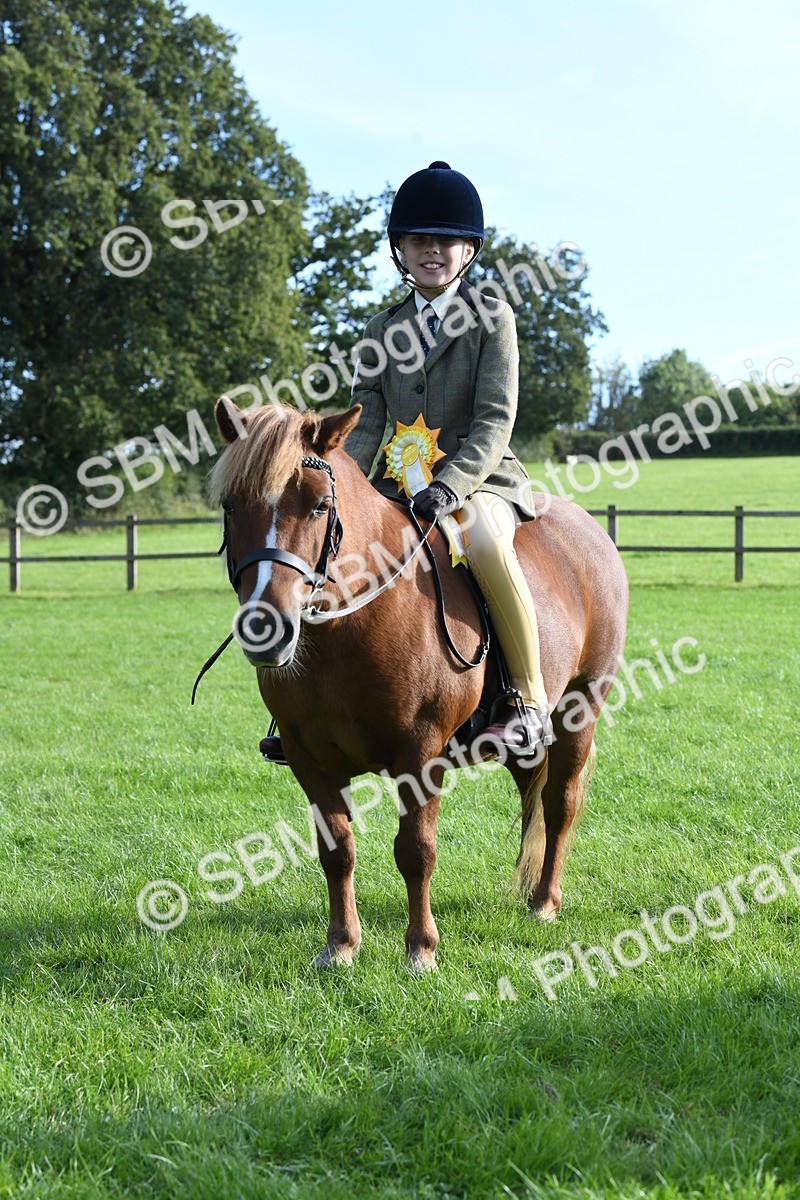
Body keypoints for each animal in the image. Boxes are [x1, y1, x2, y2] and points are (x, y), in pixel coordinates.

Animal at [209, 397, 629, 971]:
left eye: (319, 505)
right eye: (231, 505)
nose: (265, 628)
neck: (349, 625)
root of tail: (589, 531)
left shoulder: (421, 752)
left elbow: (415, 850)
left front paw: (420, 950)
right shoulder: (306, 756)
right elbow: (336, 850)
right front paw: (340, 946)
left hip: (580, 709)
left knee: (558, 803)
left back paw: (544, 902)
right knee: (532, 794)